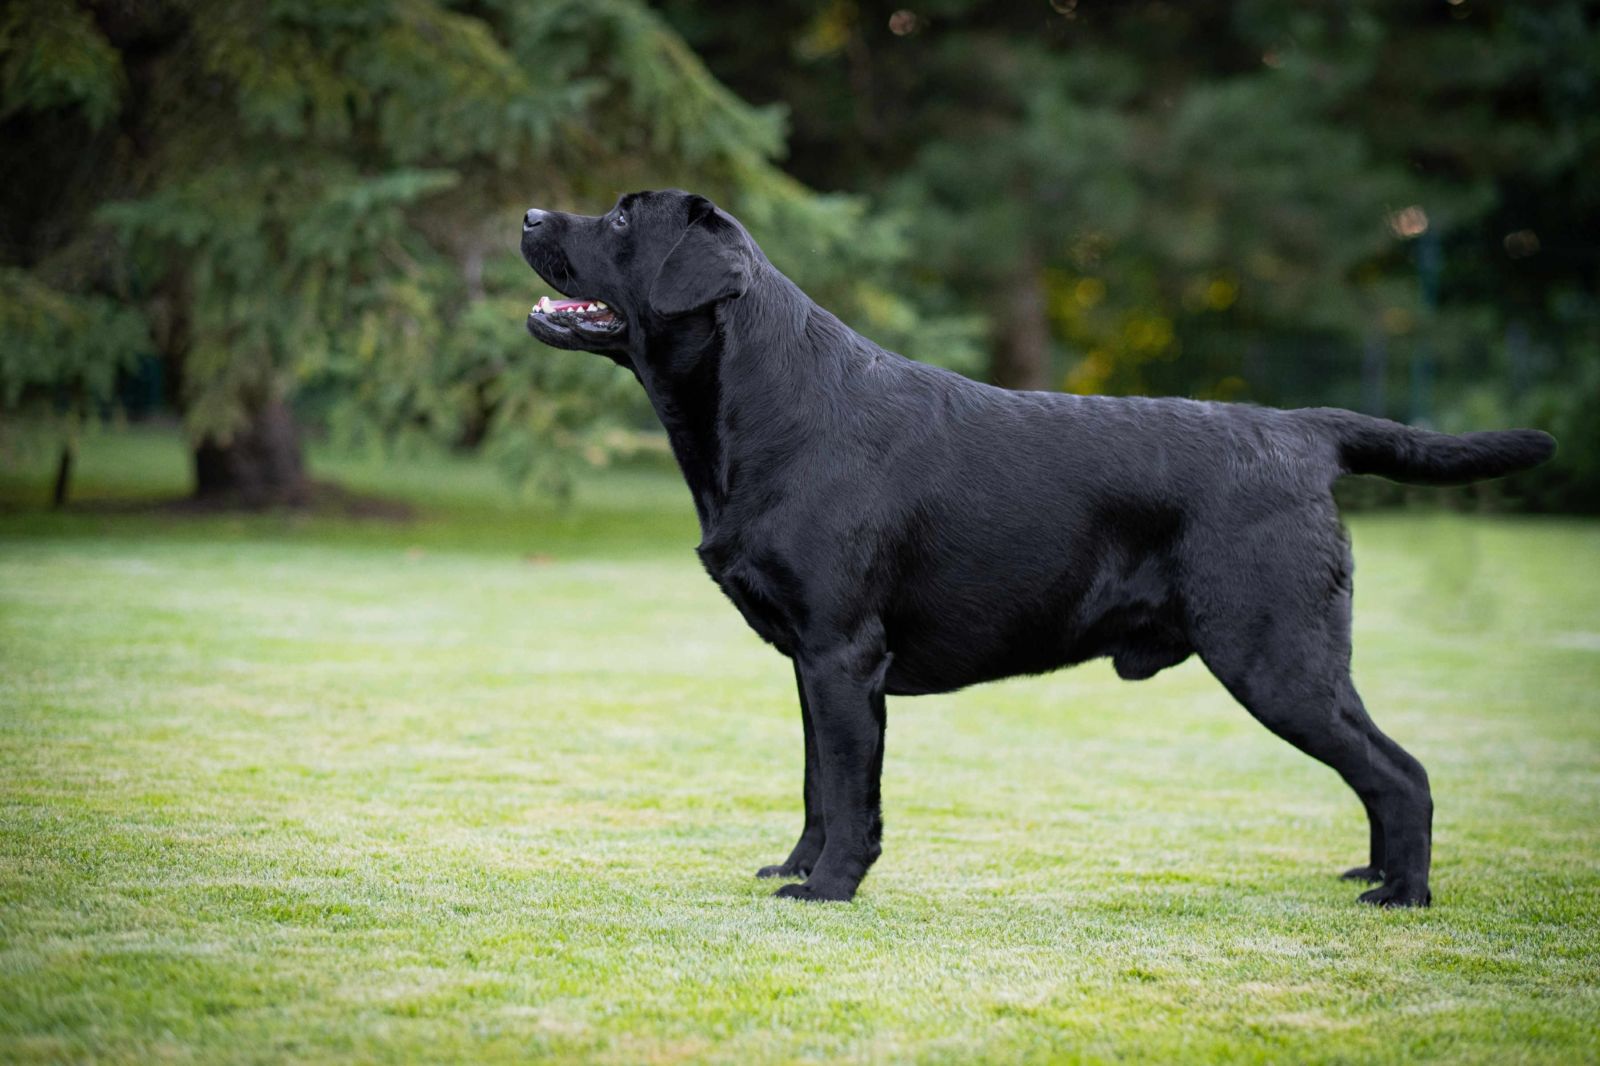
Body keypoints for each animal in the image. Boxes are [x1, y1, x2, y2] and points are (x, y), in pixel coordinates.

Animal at [519, 189, 1556, 906]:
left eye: (622, 217)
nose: (527, 214)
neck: (770, 405)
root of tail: (1301, 431)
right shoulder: (812, 664)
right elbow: (817, 784)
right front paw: (795, 869)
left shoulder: (842, 653)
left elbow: (850, 793)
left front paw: (831, 889)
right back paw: (1372, 878)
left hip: (1276, 654)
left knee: (1401, 773)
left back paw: (1403, 896)